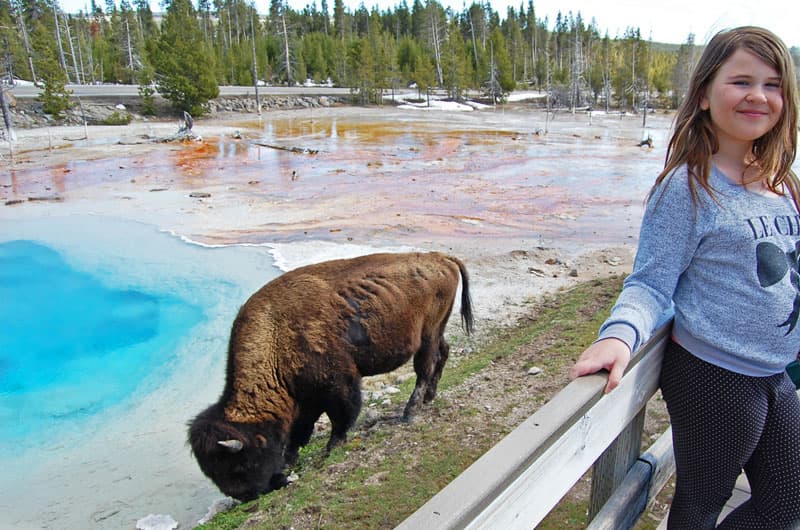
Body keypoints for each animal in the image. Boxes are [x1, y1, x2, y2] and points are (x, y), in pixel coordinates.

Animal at [190, 251, 472, 500]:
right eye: (212, 473)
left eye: (239, 466)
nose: (245, 497)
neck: (275, 335)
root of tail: (440, 257)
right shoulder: (306, 397)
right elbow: (300, 430)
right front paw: (291, 458)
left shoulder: (337, 385)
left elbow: (340, 416)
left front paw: (332, 447)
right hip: (437, 331)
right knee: (442, 354)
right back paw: (429, 398)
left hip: (427, 334)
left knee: (425, 368)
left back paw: (410, 411)